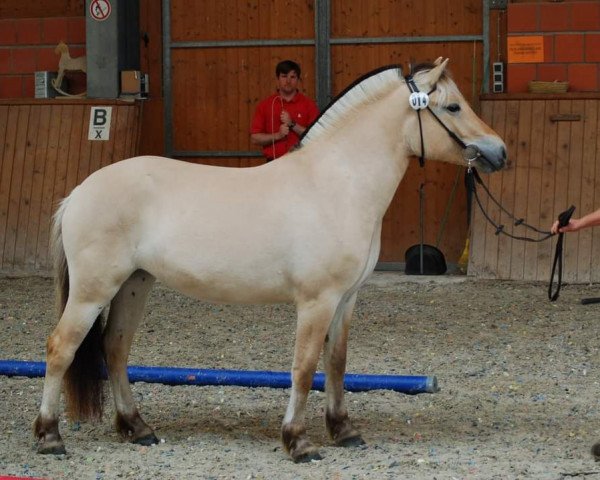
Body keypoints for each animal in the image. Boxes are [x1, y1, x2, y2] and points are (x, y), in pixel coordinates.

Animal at [34, 59, 506, 462]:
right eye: (452, 106)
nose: (499, 152)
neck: (337, 183)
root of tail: (79, 192)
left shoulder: (346, 298)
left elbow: (337, 363)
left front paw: (344, 432)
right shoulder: (317, 301)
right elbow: (304, 367)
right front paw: (298, 442)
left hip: (134, 284)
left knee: (115, 348)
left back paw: (137, 428)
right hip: (93, 291)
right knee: (61, 349)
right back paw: (50, 437)